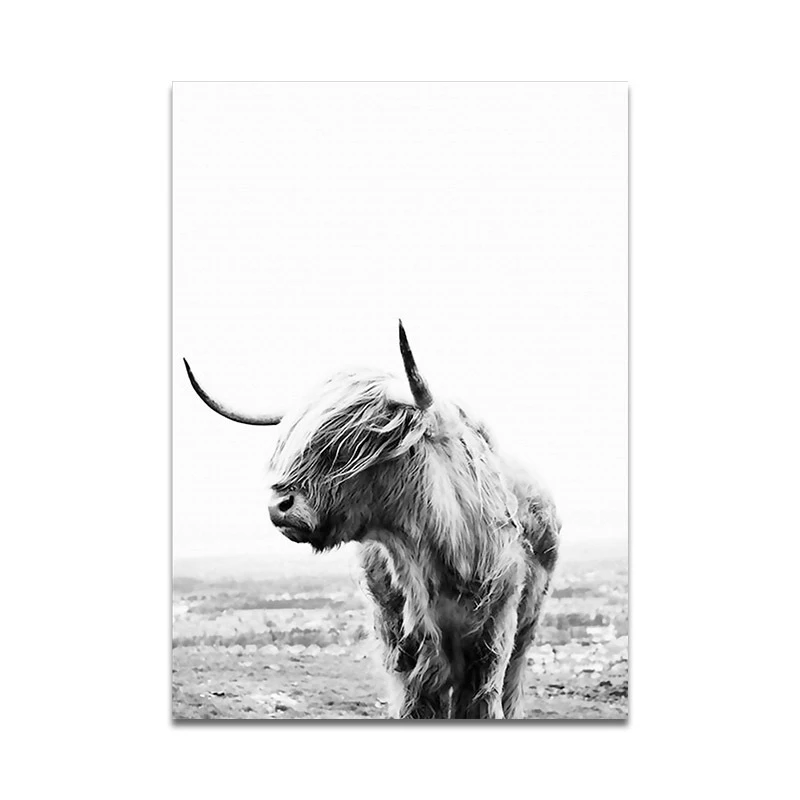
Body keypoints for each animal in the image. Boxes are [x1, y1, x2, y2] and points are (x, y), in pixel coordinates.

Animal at [183, 321, 560, 719]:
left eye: (354, 443)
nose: (279, 505)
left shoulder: (490, 640)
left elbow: (480, 702)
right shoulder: (402, 648)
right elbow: (417, 706)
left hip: (526, 628)